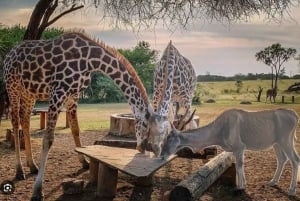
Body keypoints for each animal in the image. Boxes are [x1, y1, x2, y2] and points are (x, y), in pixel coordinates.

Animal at [2, 32, 162, 200]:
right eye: (146, 125)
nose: (142, 147)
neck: (91, 60)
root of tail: (8, 55)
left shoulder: (73, 95)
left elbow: (75, 129)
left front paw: (84, 161)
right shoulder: (58, 92)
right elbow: (48, 139)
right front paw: (37, 191)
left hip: (29, 93)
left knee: (25, 120)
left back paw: (32, 166)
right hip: (13, 87)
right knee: (15, 120)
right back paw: (20, 171)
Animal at [162, 109, 300, 196]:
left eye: (169, 138)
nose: (163, 154)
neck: (220, 130)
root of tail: (295, 115)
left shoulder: (239, 147)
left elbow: (239, 166)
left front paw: (240, 188)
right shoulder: (235, 150)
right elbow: (238, 167)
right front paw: (241, 185)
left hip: (286, 141)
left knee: (295, 160)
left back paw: (291, 190)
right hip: (276, 144)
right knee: (282, 159)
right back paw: (273, 182)